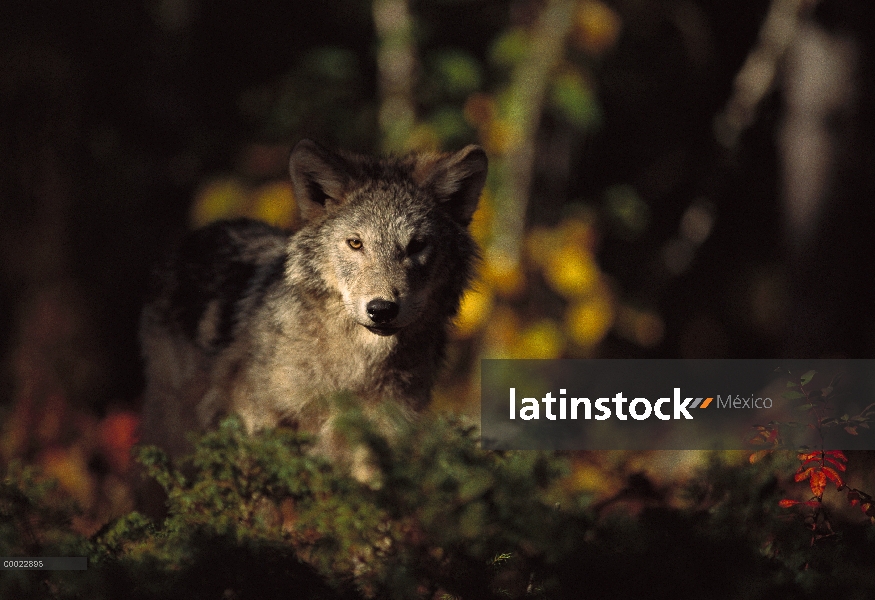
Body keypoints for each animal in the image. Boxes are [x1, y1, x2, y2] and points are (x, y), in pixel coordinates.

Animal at [140, 138, 490, 462]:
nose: (381, 309)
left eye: (417, 245)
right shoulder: (262, 419)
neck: (357, 367)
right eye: (355, 243)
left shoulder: (385, 430)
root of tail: (199, 234)